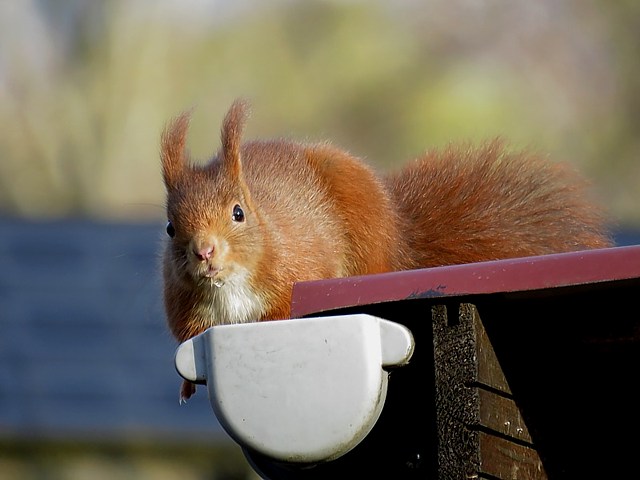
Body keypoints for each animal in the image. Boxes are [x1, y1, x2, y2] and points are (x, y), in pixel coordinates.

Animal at [159, 99, 608, 400]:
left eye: (238, 213)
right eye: (170, 227)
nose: (205, 252)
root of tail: (399, 240)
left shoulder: (300, 267)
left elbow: (283, 309)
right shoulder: (189, 315)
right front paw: (185, 384)